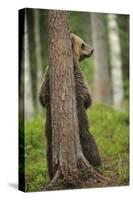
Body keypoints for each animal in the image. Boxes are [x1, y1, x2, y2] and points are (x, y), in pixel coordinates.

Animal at [39, 32, 101, 180]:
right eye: (83, 43)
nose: (92, 50)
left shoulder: (46, 79)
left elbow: (42, 97)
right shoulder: (79, 78)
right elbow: (87, 97)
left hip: (50, 139)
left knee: (49, 155)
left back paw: (51, 173)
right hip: (83, 131)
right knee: (91, 145)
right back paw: (97, 164)